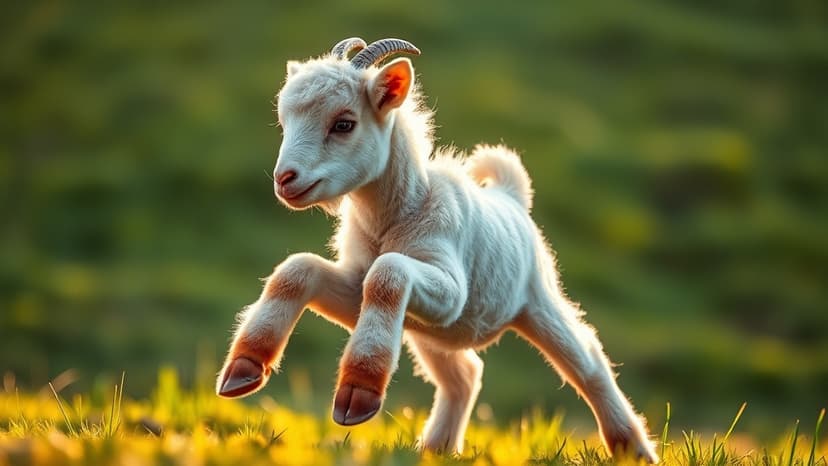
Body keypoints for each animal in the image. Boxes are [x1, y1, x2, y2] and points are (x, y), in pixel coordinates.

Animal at [216, 37, 658, 462]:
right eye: (283, 121)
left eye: (344, 124)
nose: (285, 179)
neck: (397, 217)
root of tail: (511, 195)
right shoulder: (356, 283)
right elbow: (297, 269)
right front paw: (243, 368)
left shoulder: (448, 289)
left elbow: (388, 273)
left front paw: (357, 394)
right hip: (432, 333)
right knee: (464, 373)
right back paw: (436, 449)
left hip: (536, 301)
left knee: (589, 363)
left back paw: (633, 449)